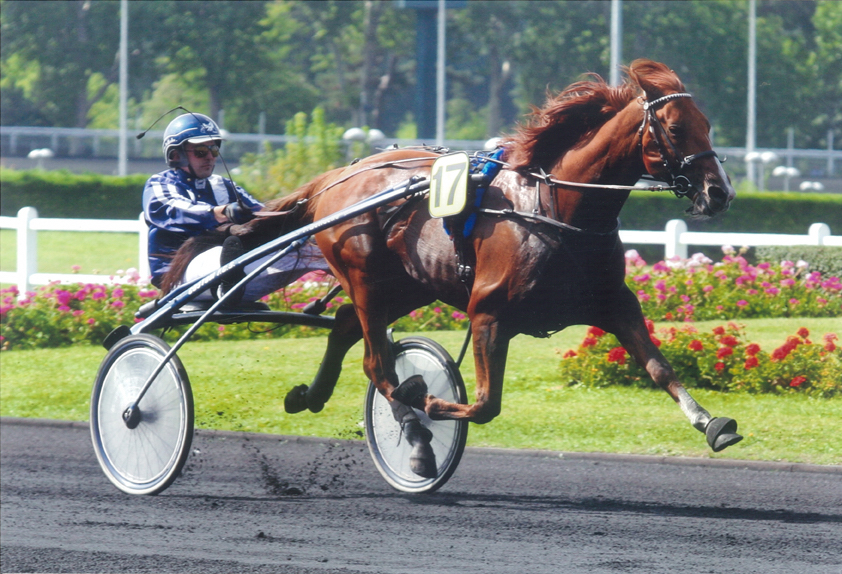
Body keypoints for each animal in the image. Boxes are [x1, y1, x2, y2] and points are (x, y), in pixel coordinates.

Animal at [166, 59, 740, 482]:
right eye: (674, 128)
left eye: (709, 125)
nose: (720, 193)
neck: (556, 210)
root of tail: (332, 178)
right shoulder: (489, 315)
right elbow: (483, 404)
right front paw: (424, 399)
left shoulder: (612, 302)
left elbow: (659, 368)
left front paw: (712, 422)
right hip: (364, 274)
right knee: (377, 362)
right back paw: (414, 430)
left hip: (409, 284)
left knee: (350, 329)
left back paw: (313, 396)